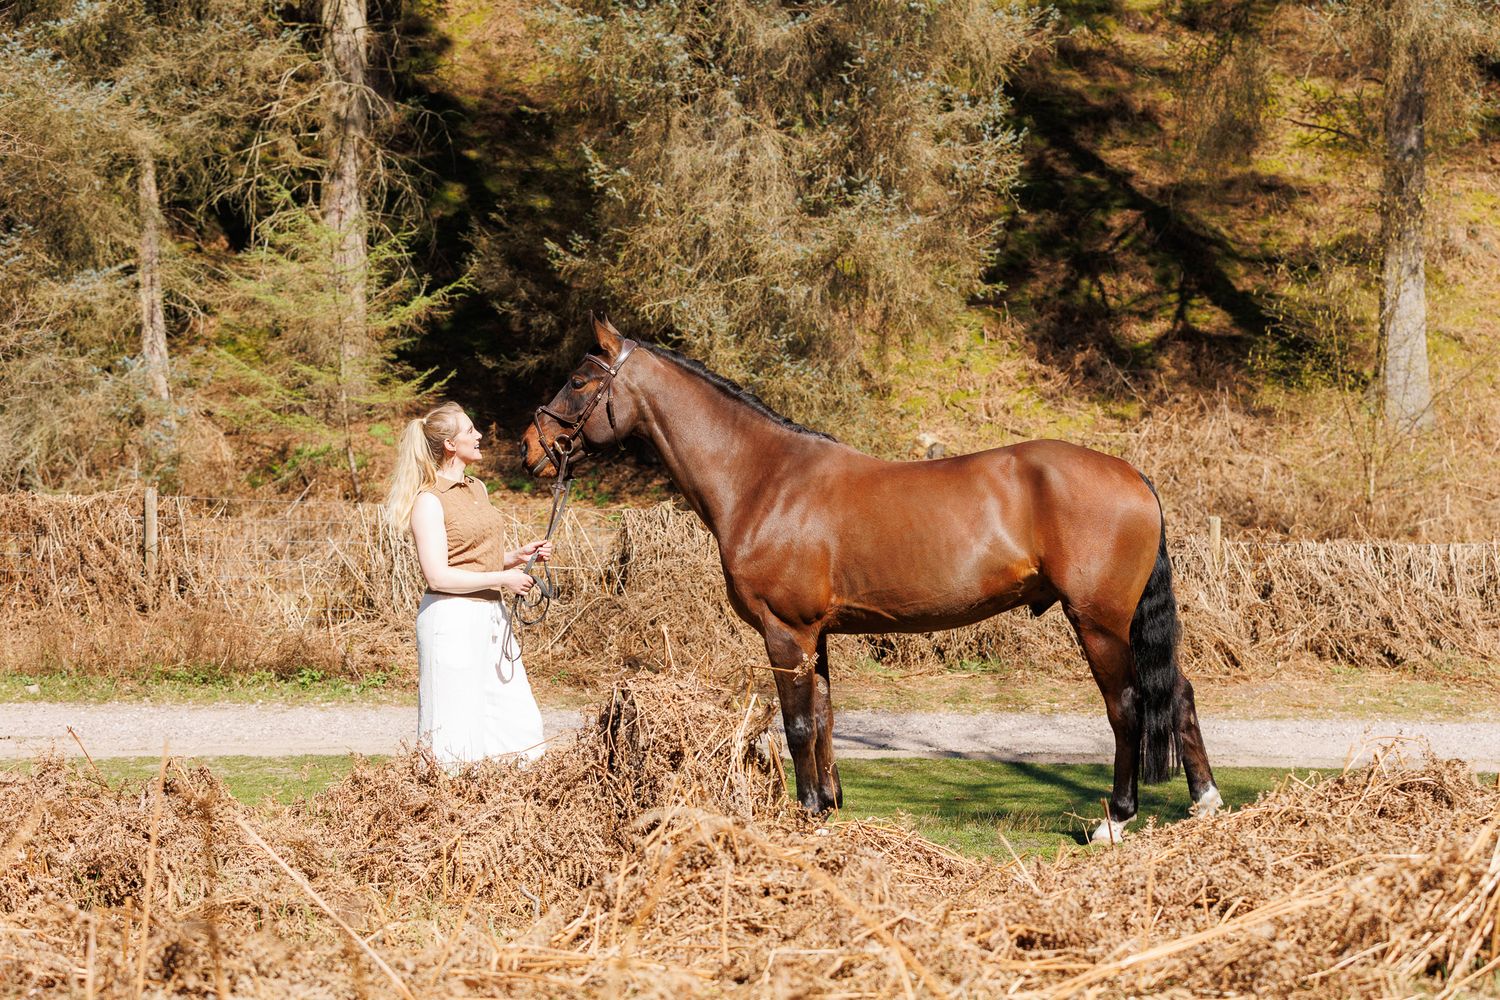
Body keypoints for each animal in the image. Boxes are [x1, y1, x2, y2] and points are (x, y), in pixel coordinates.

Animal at [521, 316, 1222, 842]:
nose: (531, 449)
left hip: (1099, 621)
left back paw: (1116, 820)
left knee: (1128, 705)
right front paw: (829, 806)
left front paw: (805, 814)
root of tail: (1133, 476)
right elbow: (826, 716)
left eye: (579, 380)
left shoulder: (786, 633)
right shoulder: (816, 635)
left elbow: (799, 724)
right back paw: (1205, 802)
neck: (764, 479)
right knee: (1179, 694)